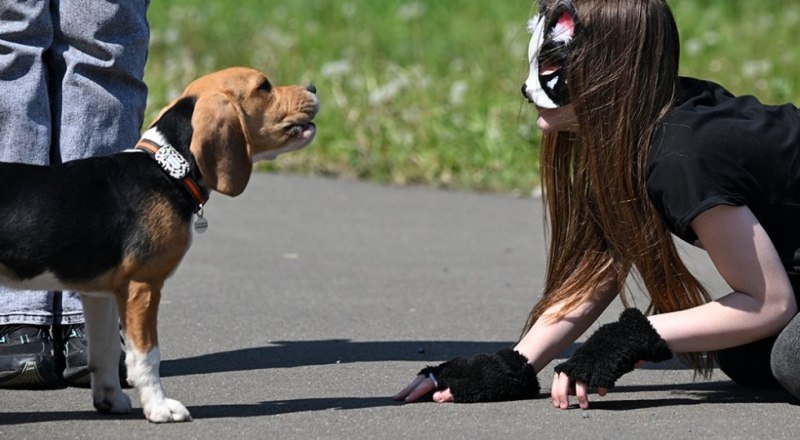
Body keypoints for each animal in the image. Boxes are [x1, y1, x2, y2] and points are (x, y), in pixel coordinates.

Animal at [0, 67, 318, 422]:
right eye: (264, 86)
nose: (313, 87)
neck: (168, 168)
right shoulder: (143, 286)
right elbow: (146, 355)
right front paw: (160, 407)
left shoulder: (101, 294)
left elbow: (106, 351)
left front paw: (110, 399)